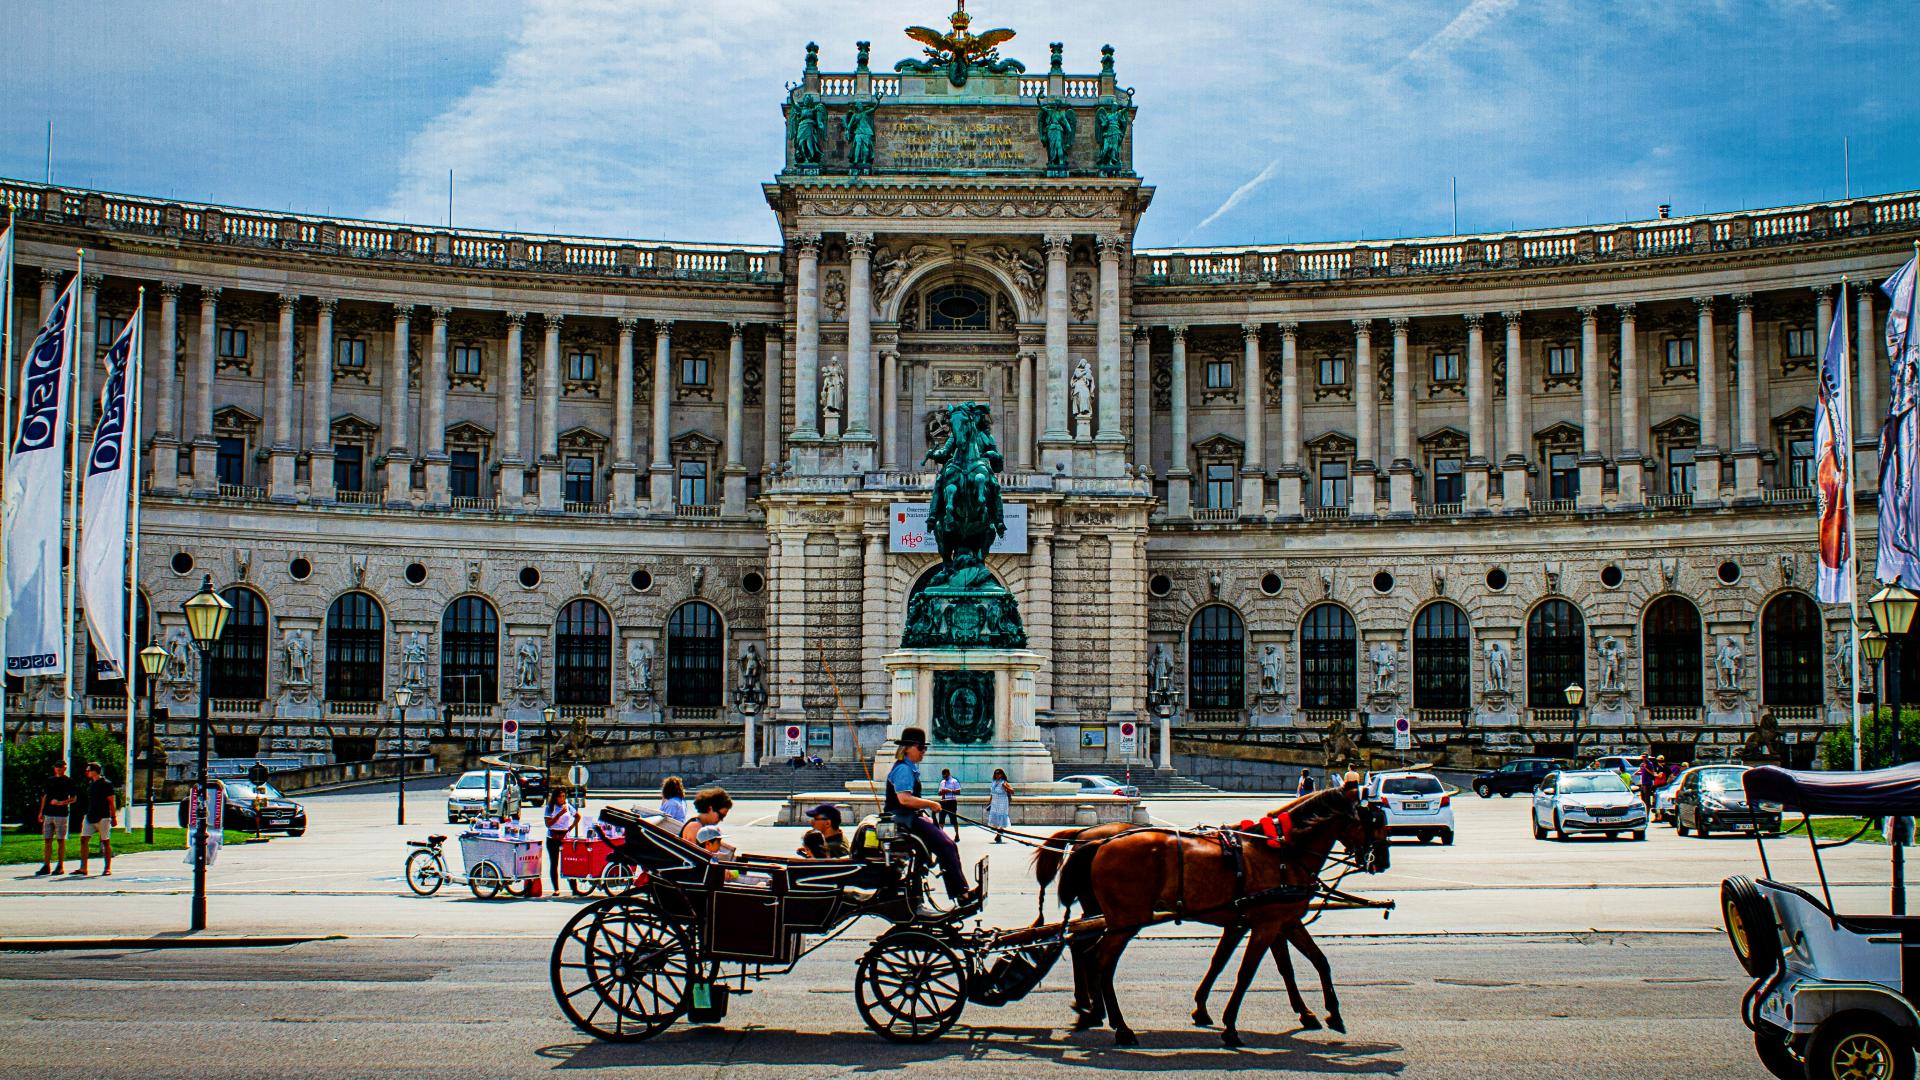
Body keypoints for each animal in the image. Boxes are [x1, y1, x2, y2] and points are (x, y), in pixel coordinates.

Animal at [1059, 780, 1390, 1045]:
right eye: (1374, 820)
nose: (1383, 862)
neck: (1281, 852)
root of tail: (1098, 840)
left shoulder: (1275, 921)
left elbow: (1306, 962)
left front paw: (1326, 1014)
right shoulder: (1267, 923)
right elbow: (1247, 972)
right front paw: (1230, 1026)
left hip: (1114, 917)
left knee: (1087, 952)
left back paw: (1094, 1012)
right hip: (1126, 919)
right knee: (1097, 959)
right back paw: (1116, 1024)